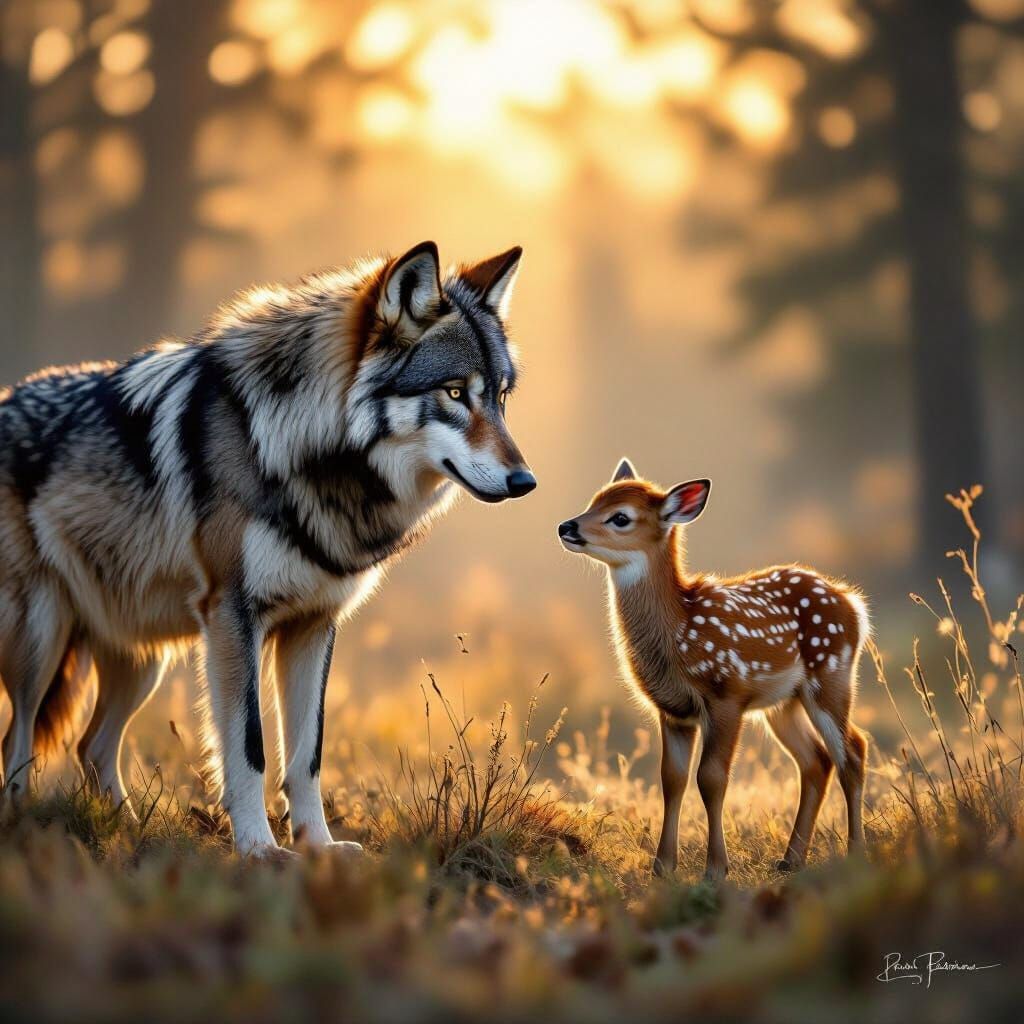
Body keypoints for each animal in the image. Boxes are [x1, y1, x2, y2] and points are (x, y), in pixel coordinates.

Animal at [0, 241, 535, 856]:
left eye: (499, 398)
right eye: (453, 393)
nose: (526, 481)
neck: (306, 451)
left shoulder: (314, 625)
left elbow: (307, 755)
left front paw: (319, 848)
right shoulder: (233, 617)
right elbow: (249, 748)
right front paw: (258, 850)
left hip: (141, 658)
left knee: (90, 745)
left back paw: (129, 832)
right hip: (40, 639)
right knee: (17, 743)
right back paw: (20, 828)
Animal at [558, 459, 869, 880]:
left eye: (620, 517)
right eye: (594, 501)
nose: (566, 527)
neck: (678, 632)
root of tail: (854, 604)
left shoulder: (726, 695)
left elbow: (711, 778)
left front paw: (716, 869)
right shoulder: (673, 710)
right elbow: (671, 779)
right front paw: (662, 866)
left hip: (831, 673)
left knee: (852, 750)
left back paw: (856, 853)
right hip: (783, 703)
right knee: (816, 761)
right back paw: (790, 859)